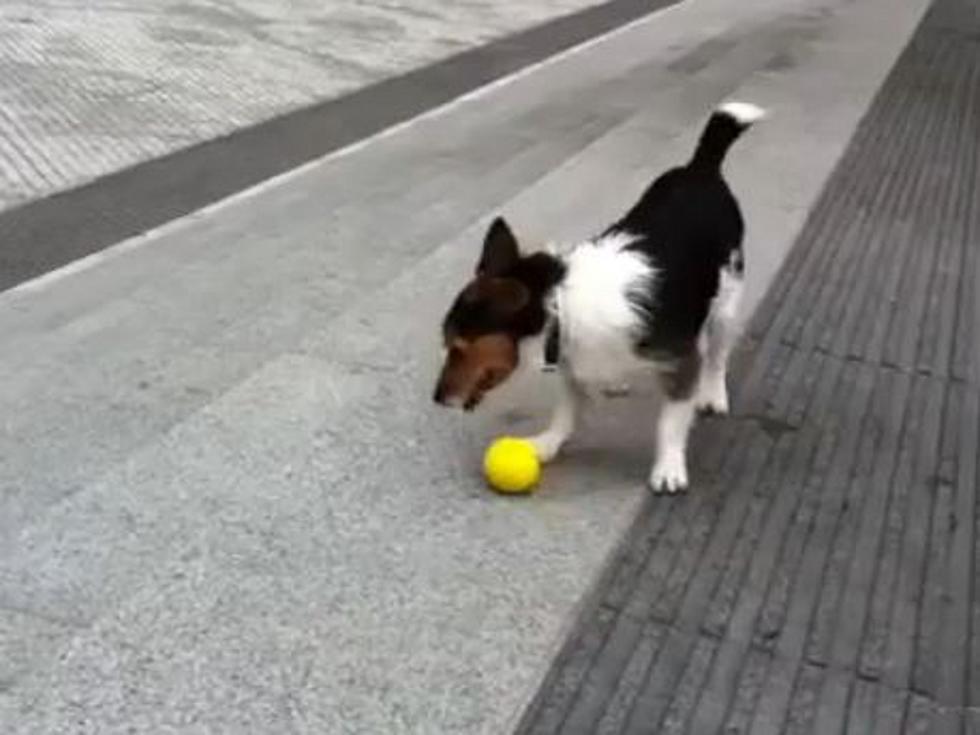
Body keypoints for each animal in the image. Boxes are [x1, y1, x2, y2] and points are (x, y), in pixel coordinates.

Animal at [432, 102, 760, 494]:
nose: (436, 399)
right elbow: (565, 414)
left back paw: (713, 394)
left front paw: (668, 467)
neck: (560, 306)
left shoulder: (681, 361)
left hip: (726, 302)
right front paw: (547, 443)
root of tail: (700, 168)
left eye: (459, 348)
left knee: (718, 355)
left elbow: (670, 422)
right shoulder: (573, 369)